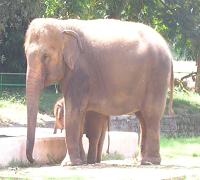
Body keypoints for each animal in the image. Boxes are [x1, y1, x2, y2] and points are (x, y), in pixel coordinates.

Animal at [24, 17, 173, 166]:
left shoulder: (80, 73)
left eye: (45, 56)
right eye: (25, 54)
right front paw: (80, 162)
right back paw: (142, 161)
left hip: (157, 78)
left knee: (151, 115)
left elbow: (73, 110)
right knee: (143, 118)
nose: (34, 160)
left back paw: (150, 162)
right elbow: (78, 113)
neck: (62, 24)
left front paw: (69, 164)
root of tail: (168, 50)